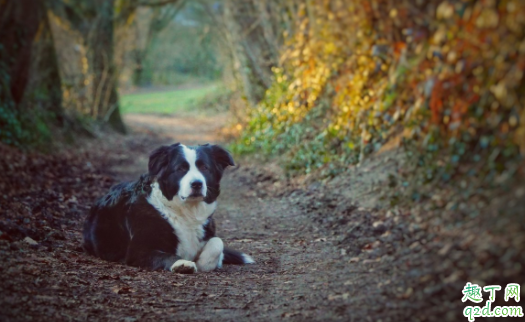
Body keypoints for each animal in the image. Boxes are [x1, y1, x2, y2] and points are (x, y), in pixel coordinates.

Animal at [82, 143, 254, 274]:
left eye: (204, 168)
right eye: (181, 169)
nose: (197, 184)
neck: (185, 212)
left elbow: (218, 242)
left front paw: (204, 262)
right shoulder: (138, 250)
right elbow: (166, 255)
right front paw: (182, 263)